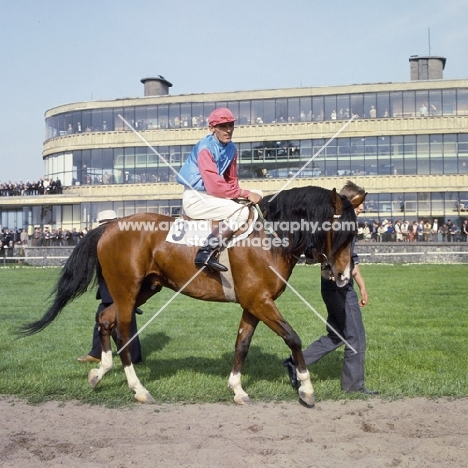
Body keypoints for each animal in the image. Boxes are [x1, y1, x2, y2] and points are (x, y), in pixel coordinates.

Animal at [18, 185, 362, 408]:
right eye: (343, 232)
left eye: (355, 233)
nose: (345, 276)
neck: (269, 237)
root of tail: (110, 226)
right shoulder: (260, 302)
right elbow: (293, 337)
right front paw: (306, 387)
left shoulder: (253, 303)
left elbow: (242, 344)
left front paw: (237, 389)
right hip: (127, 292)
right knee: (123, 333)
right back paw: (138, 389)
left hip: (146, 288)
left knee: (104, 318)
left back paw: (98, 372)